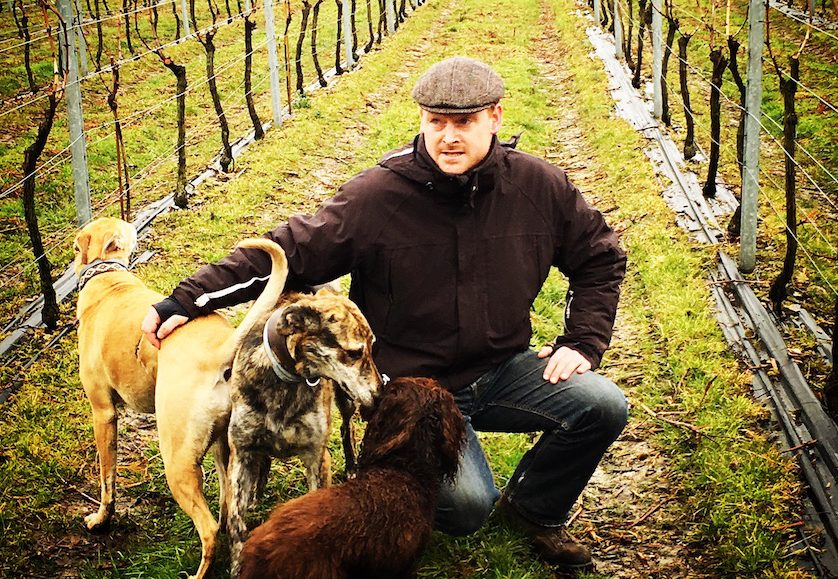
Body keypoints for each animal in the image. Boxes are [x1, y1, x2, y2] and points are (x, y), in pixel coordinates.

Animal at [225, 287, 385, 576]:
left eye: (372, 347)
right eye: (354, 353)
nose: (380, 395)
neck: (285, 380)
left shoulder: (317, 457)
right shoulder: (240, 455)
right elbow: (235, 523)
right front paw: (238, 565)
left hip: (346, 399)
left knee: (347, 428)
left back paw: (352, 467)